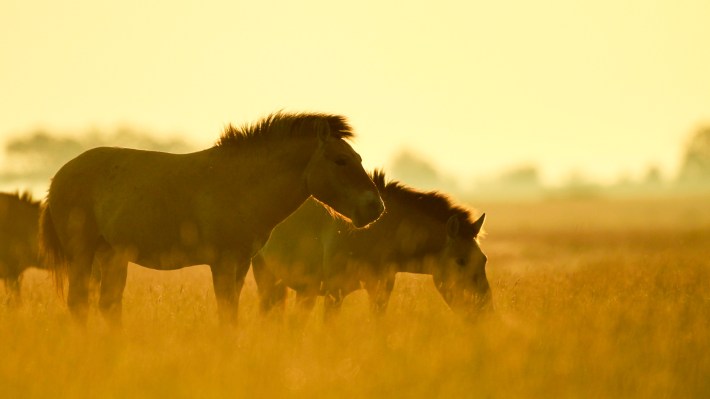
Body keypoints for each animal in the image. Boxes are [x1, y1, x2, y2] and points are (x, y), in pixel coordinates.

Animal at [39, 111, 384, 326]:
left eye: (357, 158)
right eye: (341, 161)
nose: (375, 207)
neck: (242, 185)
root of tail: (58, 176)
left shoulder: (241, 265)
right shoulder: (223, 262)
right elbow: (226, 315)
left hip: (111, 254)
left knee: (108, 306)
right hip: (82, 253)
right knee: (79, 305)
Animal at [253, 170, 492, 324]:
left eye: (484, 259)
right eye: (460, 261)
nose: (485, 308)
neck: (377, 233)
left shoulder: (380, 291)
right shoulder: (334, 293)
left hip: (301, 290)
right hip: (267, 278)